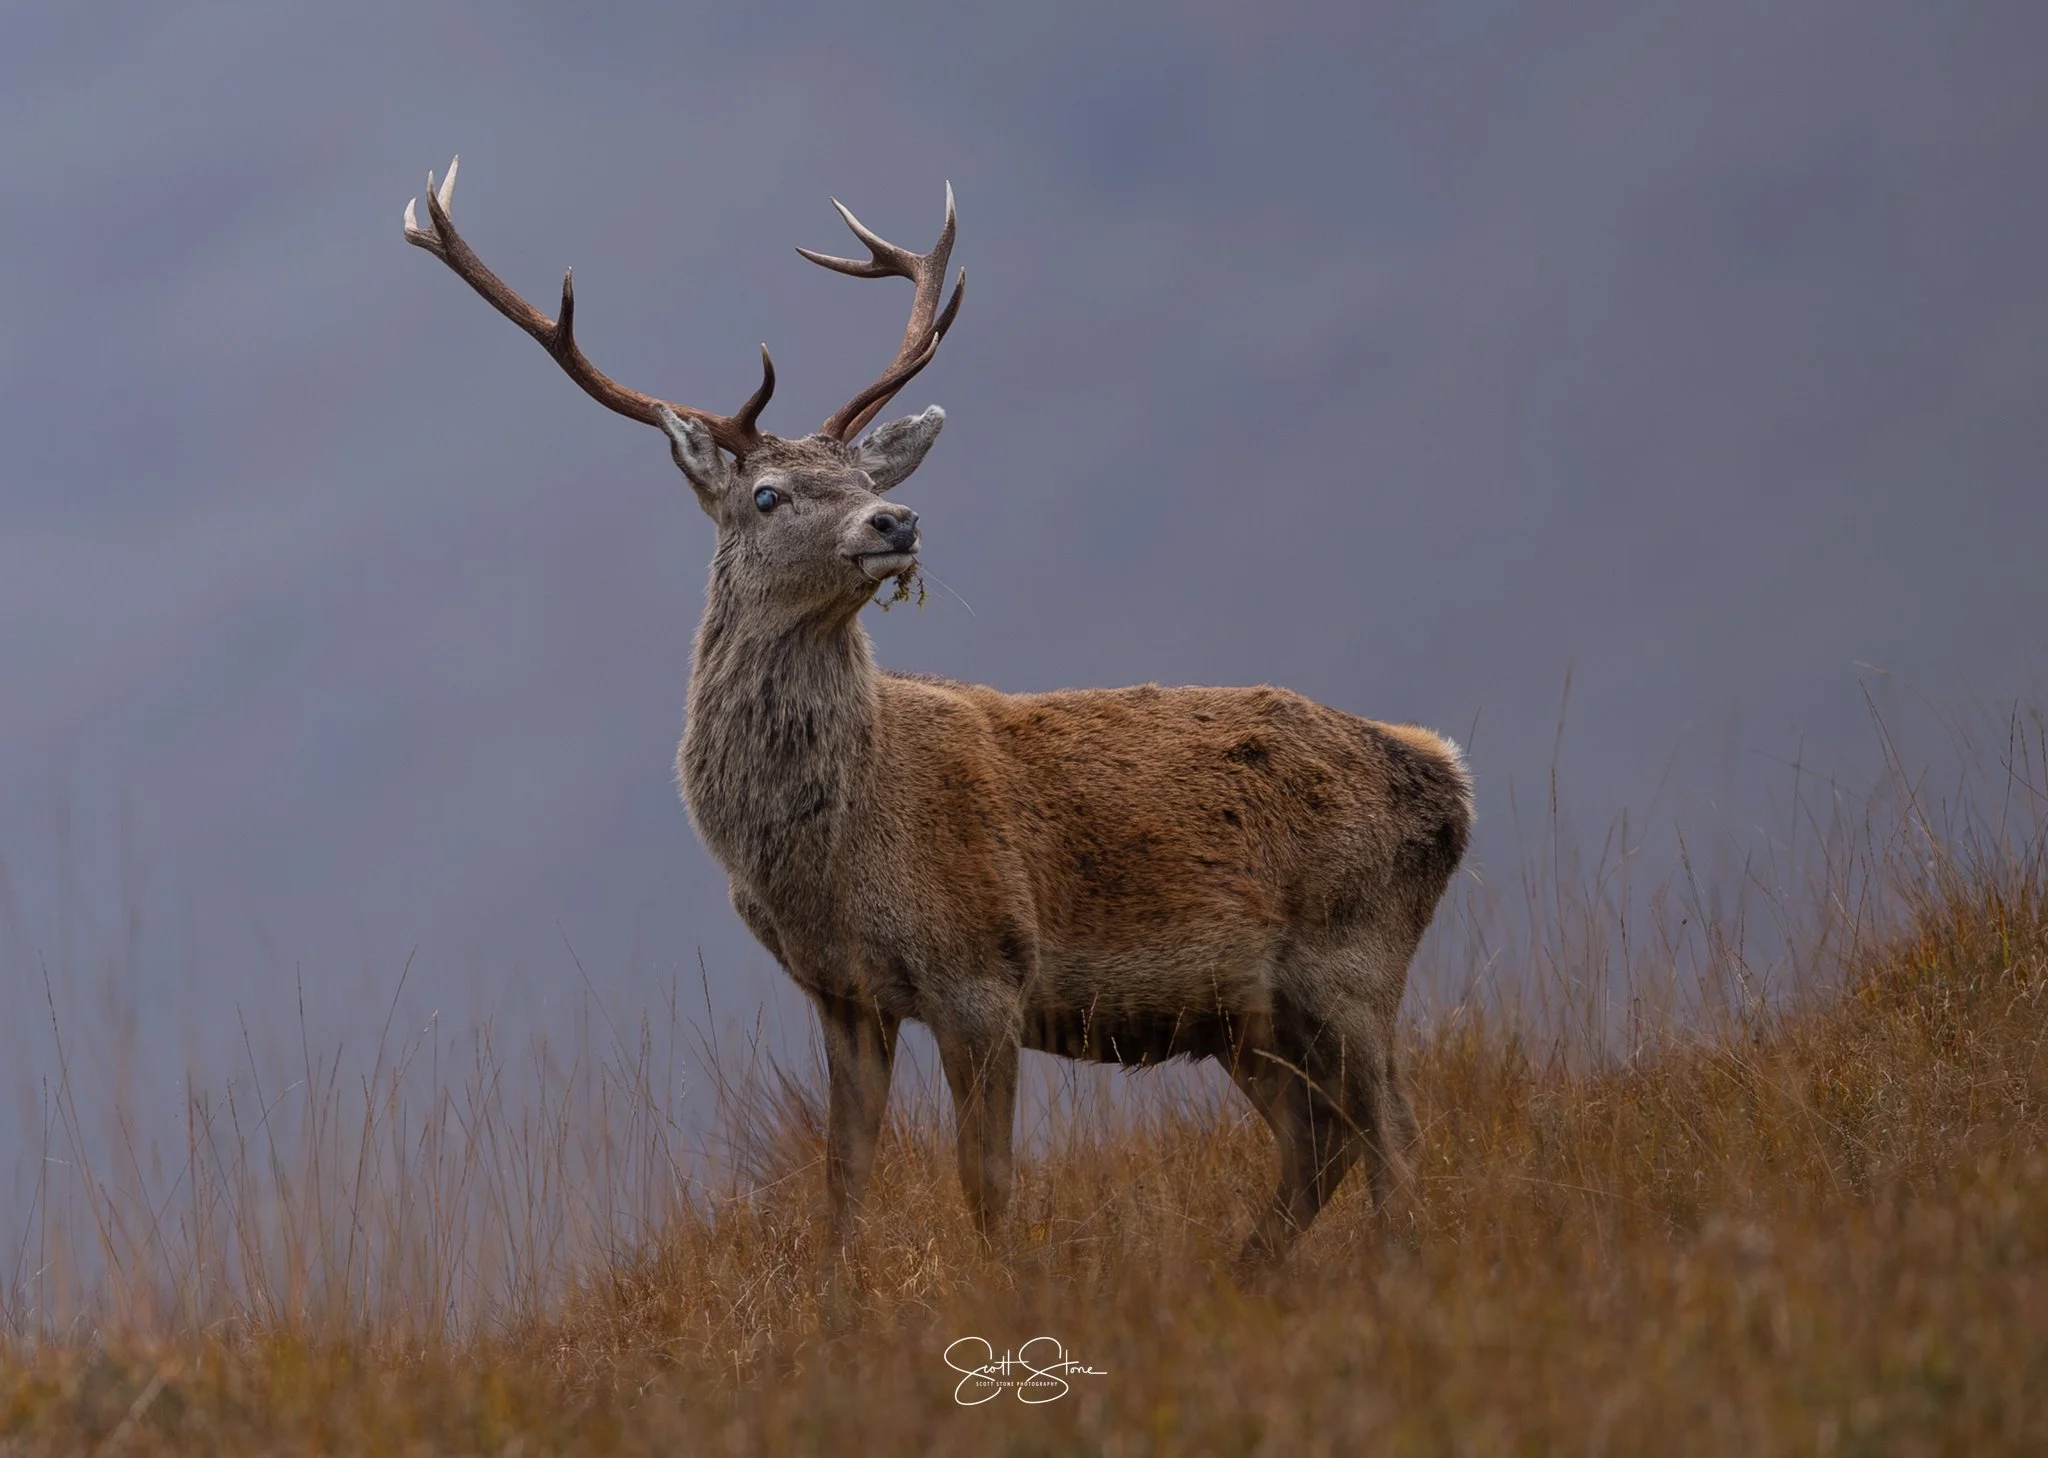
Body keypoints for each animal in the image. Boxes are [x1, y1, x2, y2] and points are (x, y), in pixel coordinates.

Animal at [401, 157, 1474, 1268]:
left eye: (863, 476)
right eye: (770, 494)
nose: (897, 519)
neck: (829, 853)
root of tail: (1446, 778)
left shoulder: (983, 970)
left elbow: (985, 1181)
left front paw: (1004, 1292)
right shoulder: (842, 995)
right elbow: (841, 1179)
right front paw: (839, 1299)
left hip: (1351, 954)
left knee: (1391, 1128)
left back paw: (1391, 1274)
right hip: (1243, 1015)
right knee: (1320, 1137)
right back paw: (1246, 1274)